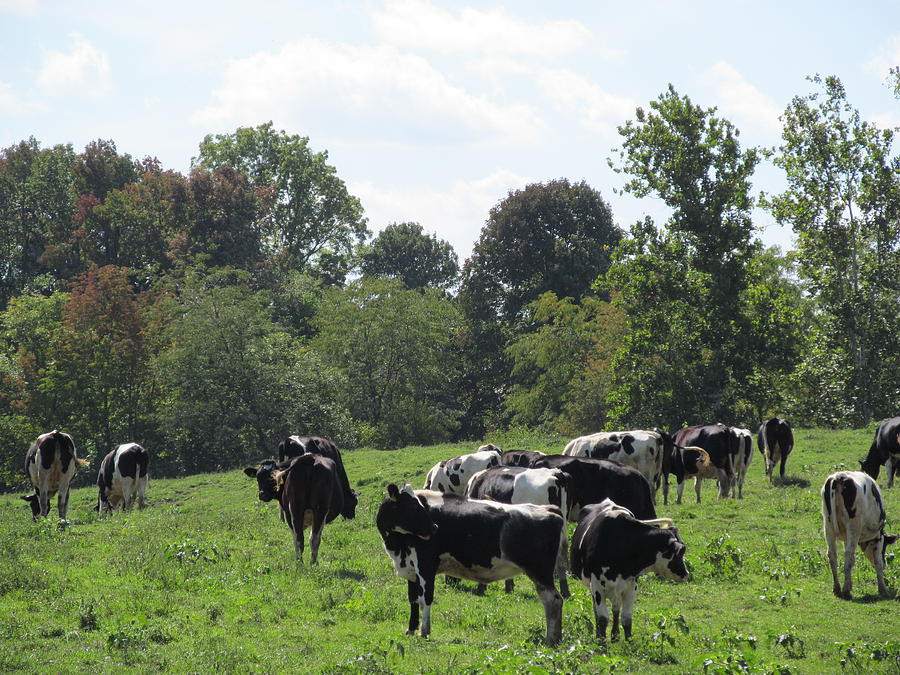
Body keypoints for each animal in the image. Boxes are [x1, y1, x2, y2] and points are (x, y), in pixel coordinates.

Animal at [378, 484, 564, 648]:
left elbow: (425, 598)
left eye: (419, 505)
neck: (397, 545)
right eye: (411, 507)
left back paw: (551, 639)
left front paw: (424, 631)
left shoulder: (426, 565)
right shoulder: (411, 569)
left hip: (540, 571)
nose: (434, 528)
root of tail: (549, 509)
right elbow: (413, 599)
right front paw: (410, 630)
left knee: (553, 600)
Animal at [568, 500, 688, 640]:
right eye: (680, 553)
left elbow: (626, 618)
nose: (686, 574)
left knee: (615, 609)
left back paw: (615, 635)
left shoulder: (631, 586)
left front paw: (629, 641)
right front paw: (601, 642)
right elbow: (602, 618)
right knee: (597, 611)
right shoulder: (597, 586)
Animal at [820, 472, 896, 600]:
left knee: (832, 556)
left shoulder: (846, 538)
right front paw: (882, 590)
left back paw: (837, 589)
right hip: (854, 526)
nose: (886, 564)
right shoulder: (878, 538)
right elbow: (877, 562)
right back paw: (846, 591)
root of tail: (839, 477)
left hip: (828, 525)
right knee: (848, 555)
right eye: (885, 547)